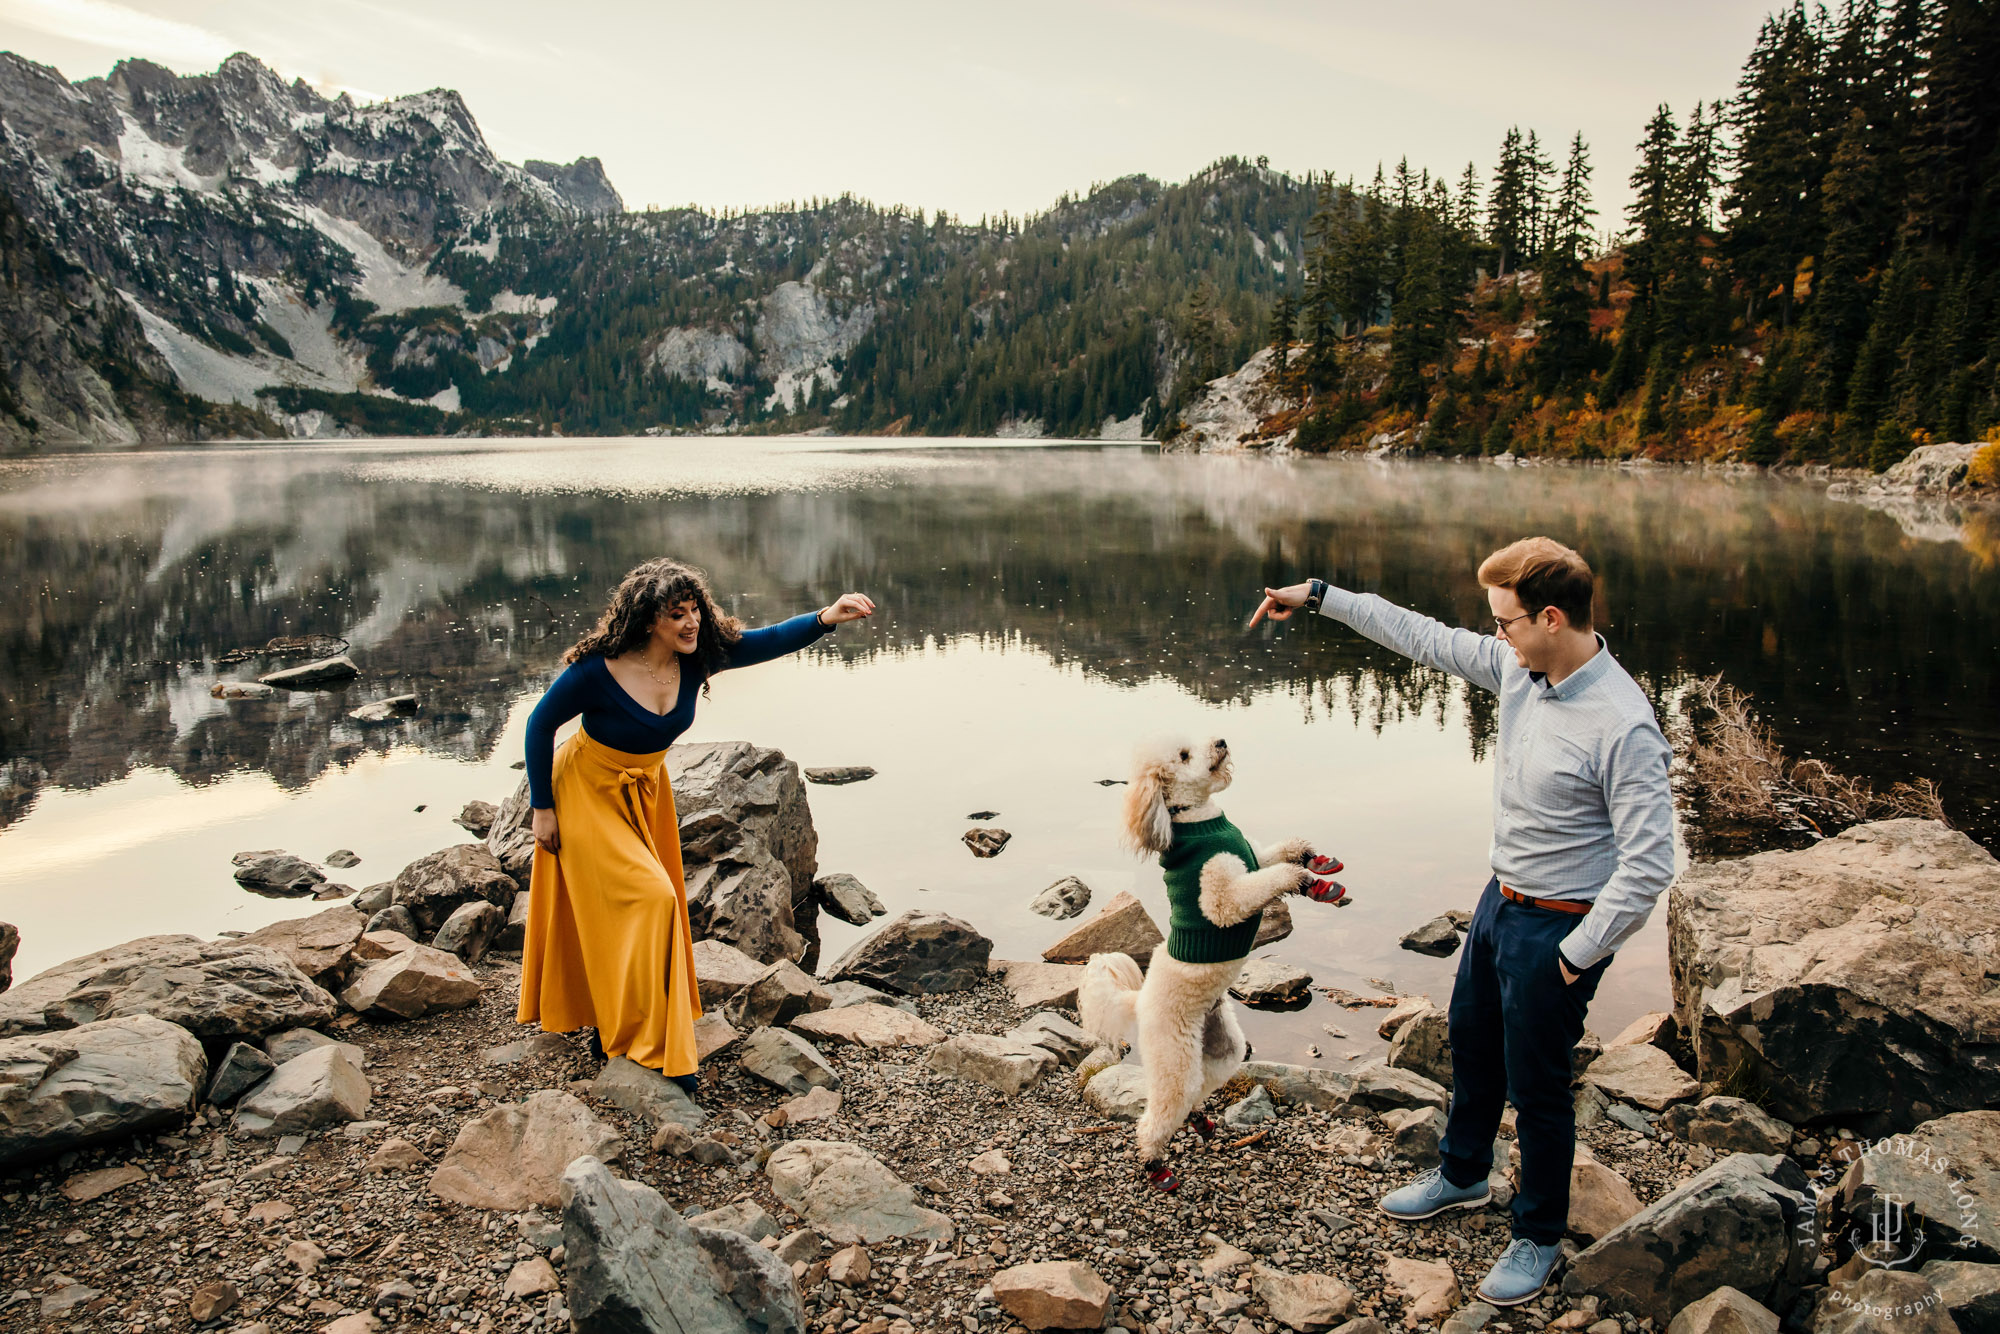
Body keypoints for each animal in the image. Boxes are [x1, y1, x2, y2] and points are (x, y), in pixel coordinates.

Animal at [1080, 736, 1344, 1192]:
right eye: (1184, 756)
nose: (1221, 741)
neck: (1203, 821)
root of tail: (1138, 1001)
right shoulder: (1222, 896)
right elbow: (1259, 884)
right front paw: (1299, 877)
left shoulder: (1252, 856)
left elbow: (1272, 855)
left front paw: (1310, 859)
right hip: (1174, 1061)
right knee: (1157, 1116)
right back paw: (1156, 1166)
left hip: (1224, 1048)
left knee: (1200, 1090)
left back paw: (1200, 1122)